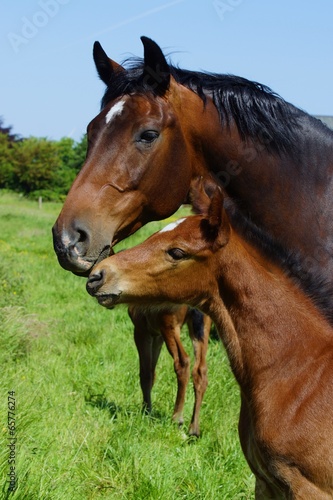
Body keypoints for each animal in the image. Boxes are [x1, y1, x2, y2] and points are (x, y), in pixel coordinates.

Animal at [87, 185, 332, 500]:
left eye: (177, 251)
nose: (97, 275)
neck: (298, 372)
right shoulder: (265, 483)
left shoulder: (308, 489)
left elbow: (148, 373)